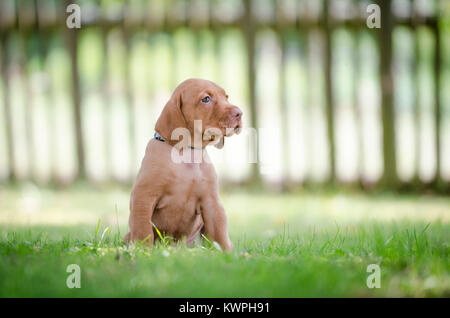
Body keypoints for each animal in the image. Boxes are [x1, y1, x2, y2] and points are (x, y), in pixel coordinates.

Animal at [123, 78, 243, 252]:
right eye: (206, 99)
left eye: (226, 96)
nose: (239, 113)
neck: (188, 153)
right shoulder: (143, 196)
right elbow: (143, 228)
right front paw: (143, 250)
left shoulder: (212, 201)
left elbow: (220, 231)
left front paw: (227, 253)